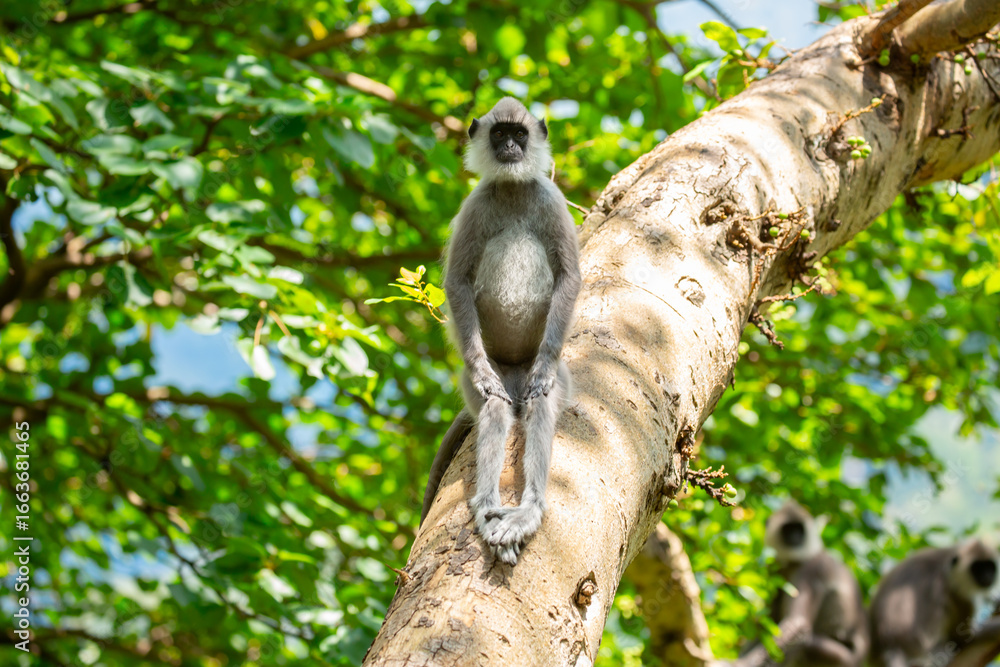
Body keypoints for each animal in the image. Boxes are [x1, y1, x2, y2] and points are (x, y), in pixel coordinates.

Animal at [419, 97, 581, 565]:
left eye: (520, 134)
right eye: (499, 134)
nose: (510, 146)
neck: (512, 189)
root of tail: (512, 368)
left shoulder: (550, 199)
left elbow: (569, 276)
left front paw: (543, 370)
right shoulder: (475, 203)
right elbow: (457, 281)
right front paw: (480, 372)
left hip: (547, 378)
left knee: (540, 406)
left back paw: (527, 511)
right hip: (489, 380)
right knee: (494, 409)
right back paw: (489, 506)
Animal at [733, 501, 869, 667]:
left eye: (799, 529)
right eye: (788, 529)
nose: (795, 537)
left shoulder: (809, 570)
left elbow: (797, 624)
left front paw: (741, 663)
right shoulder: (774, 569)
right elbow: (767, 622)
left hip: (842, 658)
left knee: (804, 644)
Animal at [870, 538, 999, 667]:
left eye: (990, 567)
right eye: (977, 568)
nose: (987, 576)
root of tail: (892, 644)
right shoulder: (953, 589)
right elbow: (965, 635)